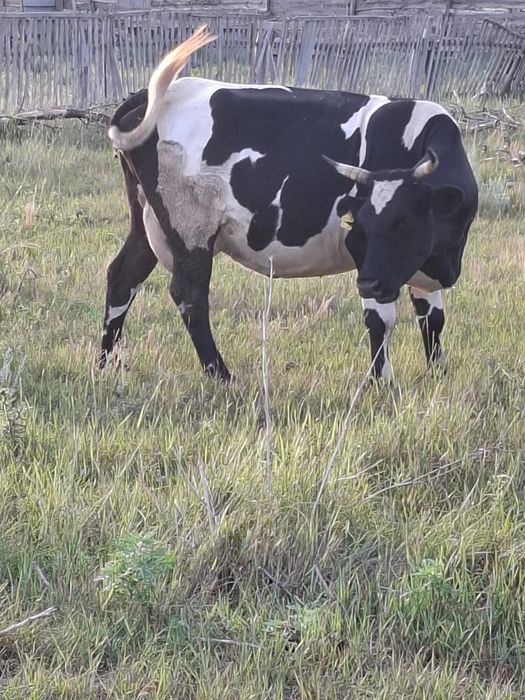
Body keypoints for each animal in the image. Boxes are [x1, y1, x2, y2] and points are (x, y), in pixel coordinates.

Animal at [101, 26, 478, 381]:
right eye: (361, 227)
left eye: (402, 223)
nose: (367, 283)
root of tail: (155, 94)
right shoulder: (372, 263)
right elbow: (380, 319)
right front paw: (381, 381)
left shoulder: (415, 265)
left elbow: (433, 320)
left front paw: (438, 373)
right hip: (190, 227)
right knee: (189, 295)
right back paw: (220, 374)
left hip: (147, 218)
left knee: (123, 275)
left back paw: (108, 363)